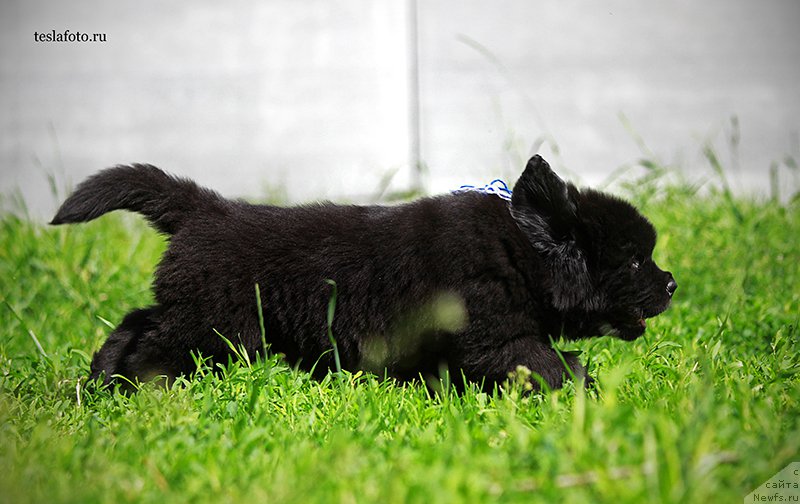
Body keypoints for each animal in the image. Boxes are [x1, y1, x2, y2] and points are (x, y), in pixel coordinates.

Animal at [51, 156, 676, 392]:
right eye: (635, 260)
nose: (672, 284)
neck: (520, 250)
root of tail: (207, 208)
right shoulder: (499, 338)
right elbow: (552, 363)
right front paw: (593, 395)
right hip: (215, 326)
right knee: (151, 346)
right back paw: (132, 390)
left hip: (194, 312)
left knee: (135, 322)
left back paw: (99, 382)